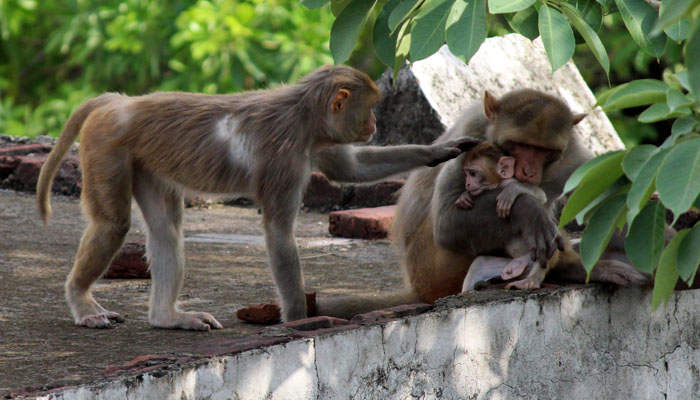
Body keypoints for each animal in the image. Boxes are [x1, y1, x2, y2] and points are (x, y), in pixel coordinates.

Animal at [37, 65, 476, 328]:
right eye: (368, 108)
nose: (372, 125)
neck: (303, 113)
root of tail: (120, 103)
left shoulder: (316, 140)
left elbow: (349, 169)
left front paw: (438, 152)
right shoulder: (286, 156)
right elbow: (279, 234)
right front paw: (299, 320)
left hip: (145, 160)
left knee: (165, 232)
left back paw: (166, 317)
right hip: (107, 145)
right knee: (113, 225)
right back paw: (81, 301)